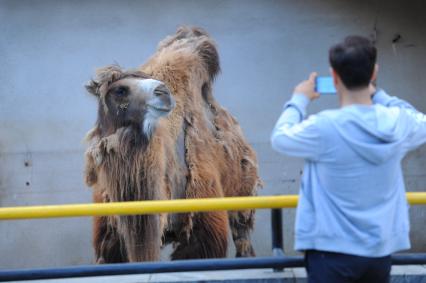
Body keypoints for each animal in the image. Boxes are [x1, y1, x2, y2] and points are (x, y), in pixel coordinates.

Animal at [84, 26, 260, 264]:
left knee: (243, 236)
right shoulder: (110, 236)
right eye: (120, 90)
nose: (163, 92)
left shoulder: (204, 229)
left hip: (242, 195)